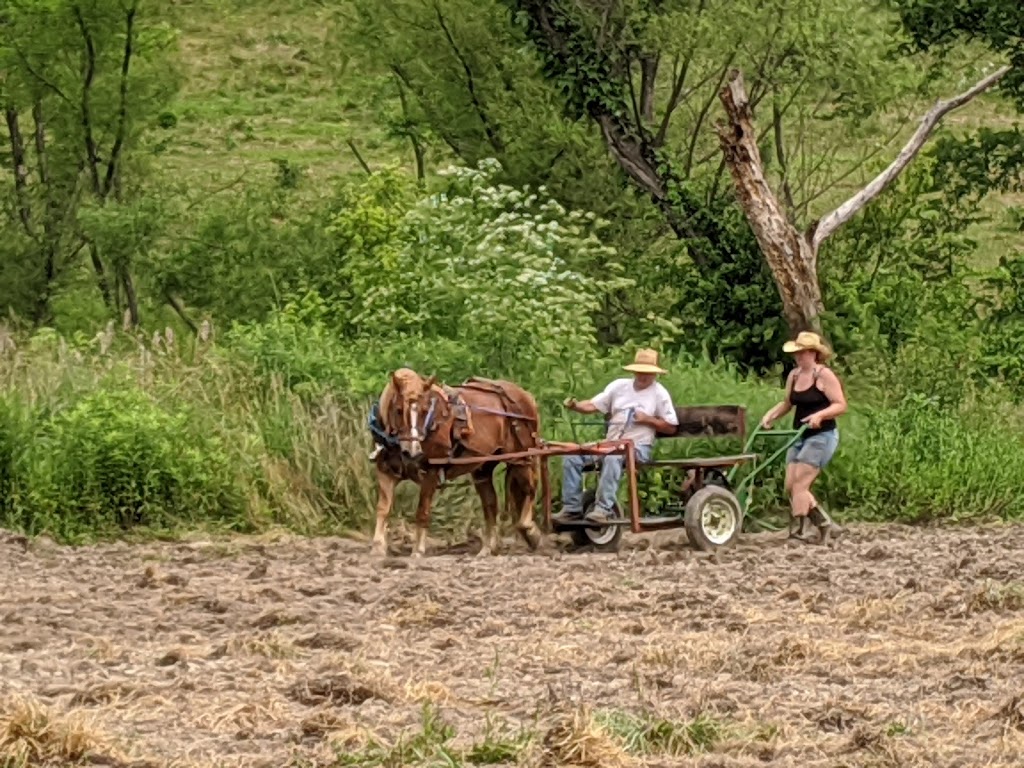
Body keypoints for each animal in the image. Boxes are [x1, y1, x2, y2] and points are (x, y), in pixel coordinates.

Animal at [370, 368, 544, 561]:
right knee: (490, 505)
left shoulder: (430, 473)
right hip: (483, 468)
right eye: (399, 410)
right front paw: (377, 547)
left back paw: (529, 530)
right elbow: (383, 509)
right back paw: (487, 548)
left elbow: (422, 511)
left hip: (521, 460)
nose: (413, 451)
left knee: (529, 490)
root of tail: (526, 396)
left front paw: (418, 550)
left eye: (424, 411)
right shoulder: (385, 471)